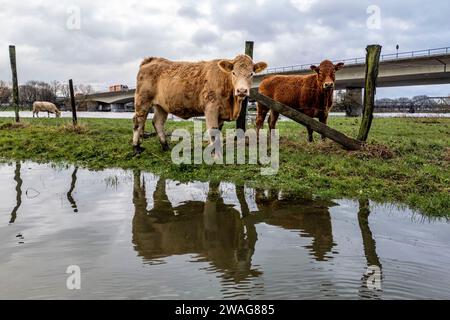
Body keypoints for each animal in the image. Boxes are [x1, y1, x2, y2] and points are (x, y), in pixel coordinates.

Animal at [133, 55, 268, 155]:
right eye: (233, 73)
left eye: (251, 74)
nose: (242, 90)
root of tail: (152, 59)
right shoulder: (211, 108)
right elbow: (213, 131)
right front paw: (215, 155)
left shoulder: (220, 114)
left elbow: (217, 131)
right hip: (142, 100)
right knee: (138, 121)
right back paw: (136, 147)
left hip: (161, 106)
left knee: (157, 122)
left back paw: (165, 146)